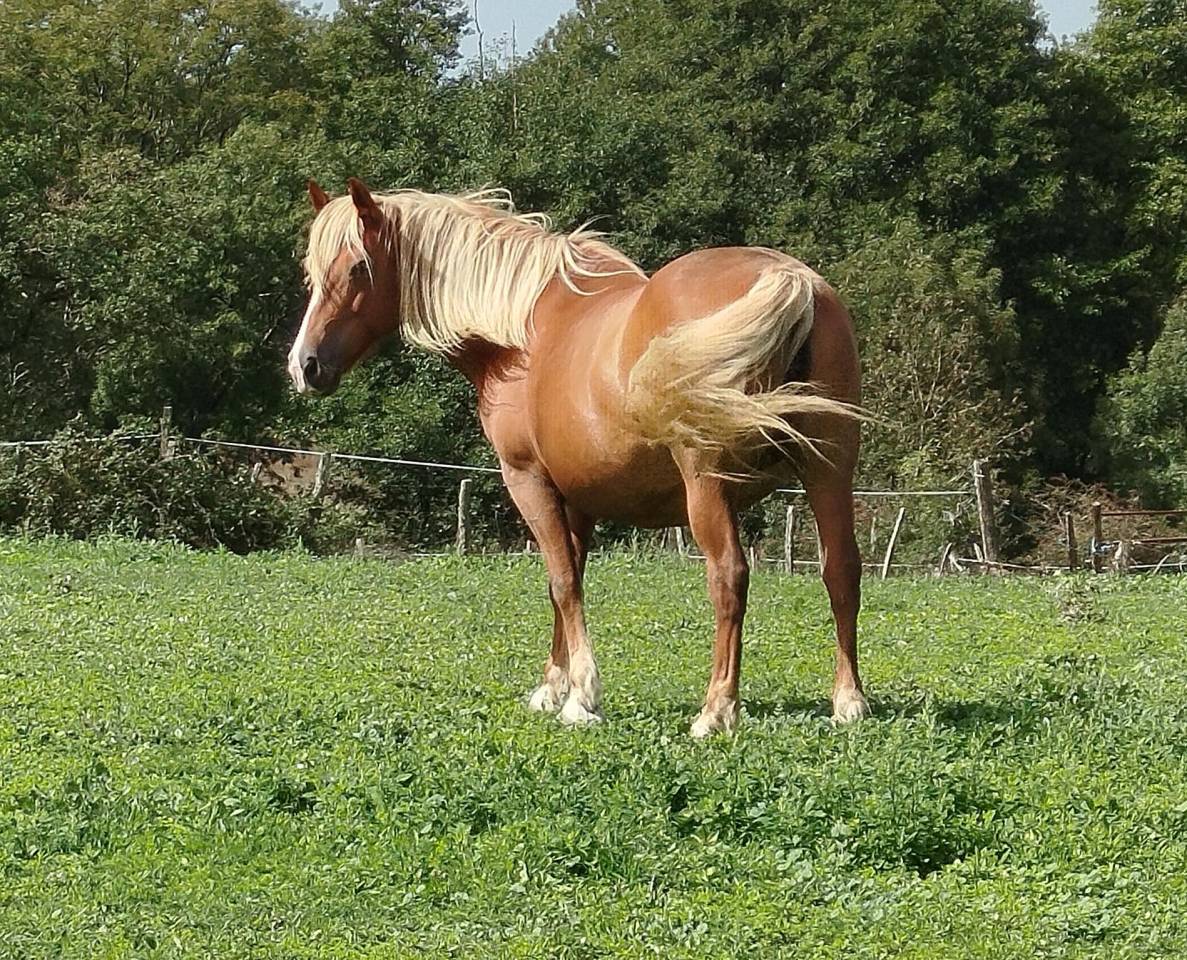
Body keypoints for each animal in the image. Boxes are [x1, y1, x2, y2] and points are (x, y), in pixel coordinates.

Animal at [288, 178, 870, 737]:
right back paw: (848, 701)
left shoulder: (529, 481)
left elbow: (564, 584)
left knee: (729, 576)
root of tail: (790, 279)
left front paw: (582, 697)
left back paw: (716, 710)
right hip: (830, 471)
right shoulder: (579, 498)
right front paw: (553, 686)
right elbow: (564, 583)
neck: (521, 334)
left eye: (357, 267)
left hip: (708, 485)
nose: (304, 365)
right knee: (841, 571)